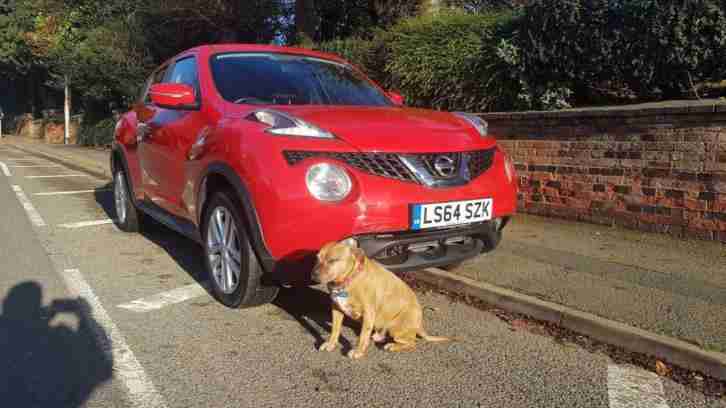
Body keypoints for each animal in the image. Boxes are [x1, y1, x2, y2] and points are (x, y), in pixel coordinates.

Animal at [312, 237, 450, 358]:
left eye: (332, 260)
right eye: (317, 259)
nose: (313, 275)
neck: (349, 279)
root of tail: (419, 323)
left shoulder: (368, 313)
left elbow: (363, 336)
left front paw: (358, 352)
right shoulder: (336, 309)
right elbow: (335, 330)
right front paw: (331, 344)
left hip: (396, 329)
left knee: (412, 342)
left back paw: (392, 346)